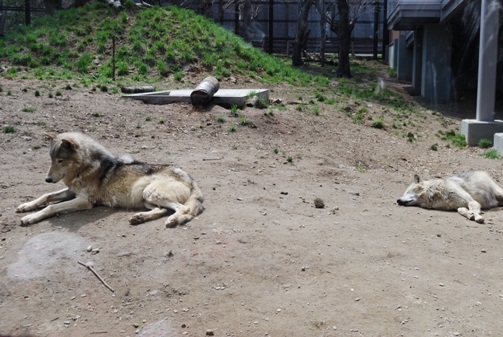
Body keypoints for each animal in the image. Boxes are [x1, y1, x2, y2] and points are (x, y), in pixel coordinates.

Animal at [16, 131, 205, 226]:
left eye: (60, 160)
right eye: (51, 159)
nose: (47, 180)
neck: (85, 168)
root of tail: (191, 179)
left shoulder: (84, 201)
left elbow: (52, 207)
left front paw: (30, 218)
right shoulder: (72, 192)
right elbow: (46, 196)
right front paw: (26, 206)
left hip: (151, 193)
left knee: (183, 209)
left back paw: (172, 220)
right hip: (147, 199)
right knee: (161, 210)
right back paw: (139, 218)